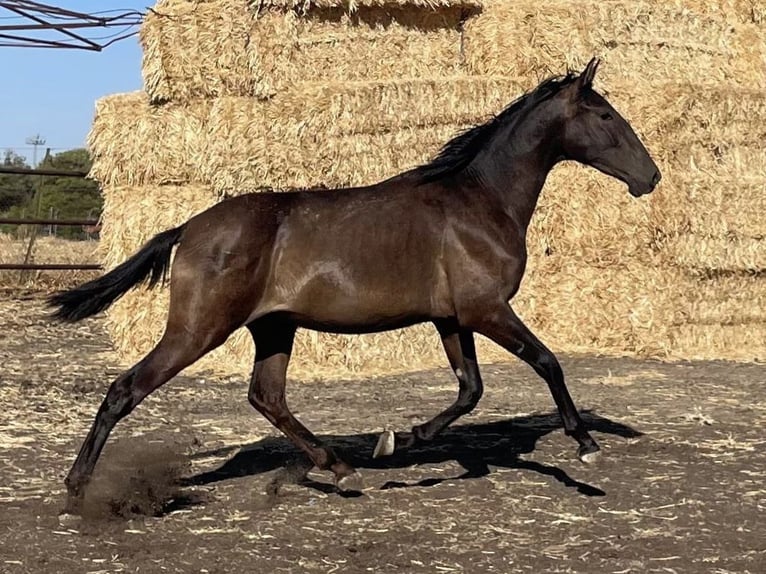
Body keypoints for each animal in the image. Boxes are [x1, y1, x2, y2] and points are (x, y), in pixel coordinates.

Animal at [49, 58, 660, 512]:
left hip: (273, 328)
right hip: (199, 329)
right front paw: (585, 445)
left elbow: (470, 390)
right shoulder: (487, 310)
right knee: (126, 389)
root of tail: (190, 227)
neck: (480, 201)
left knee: (267, 396)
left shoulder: (451, 318)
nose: (651, 177)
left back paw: (338, 468)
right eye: (604, 114)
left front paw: (400, 440)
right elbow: (547, 362)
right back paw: (77, 491)